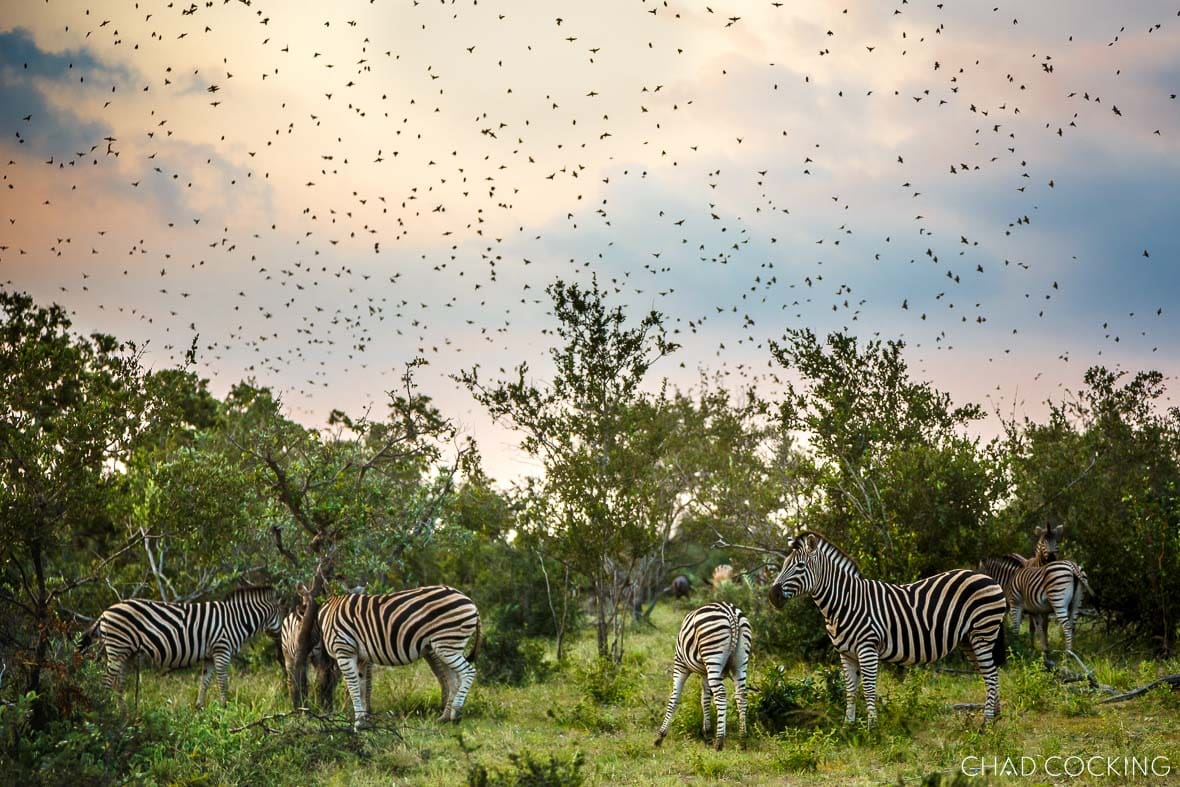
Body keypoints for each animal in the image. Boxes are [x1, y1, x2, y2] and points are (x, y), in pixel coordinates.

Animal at [80, 586, 280, 707]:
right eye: (282, 612)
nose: (279, 637)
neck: (236, 619)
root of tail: (105, 612)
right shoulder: (222, 650)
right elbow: (222, 682)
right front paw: (226, 708)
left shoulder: (210, 655)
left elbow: (205, 682)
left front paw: (200, 709)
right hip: (117, 649)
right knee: (107, 682)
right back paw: (107, 710)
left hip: (126, 653)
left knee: (119, 685)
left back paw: (124, 715)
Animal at [317, 585, 481, 729]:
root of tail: (469, 600)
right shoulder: (361, 657)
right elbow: (362, 686)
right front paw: (364, 720)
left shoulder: (344, 651)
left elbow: (353, 687)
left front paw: (358, 723)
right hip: (445, 648)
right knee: (453, 680)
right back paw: (445, 718)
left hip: (447, 644)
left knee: (468, 672)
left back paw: (456, 714)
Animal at [654, 601, 751, 750]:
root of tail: (731, 612)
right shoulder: (705, 673)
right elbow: (704, 699)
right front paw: (707, 734)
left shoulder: (680, 664)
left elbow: (674, 698)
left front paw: (660, 736)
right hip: (740, 661)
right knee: (741, 696)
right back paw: (742, 739)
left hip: (713, 655)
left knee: (721, 694)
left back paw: (719, 742)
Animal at [769, 532, 1007, 724]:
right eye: (783, 565)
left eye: (800, 566)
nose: (773, 595)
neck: (845, 602)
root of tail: (987, 577)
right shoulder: (846, 653)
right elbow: (850, 691)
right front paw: (848, 726)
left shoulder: (867, 648)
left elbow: (868, 689)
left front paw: (872, 728)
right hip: (969, 640)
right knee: (990, 674)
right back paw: (995, 717)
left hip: (982, 634)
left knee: (991, 675)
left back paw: (986, 724)